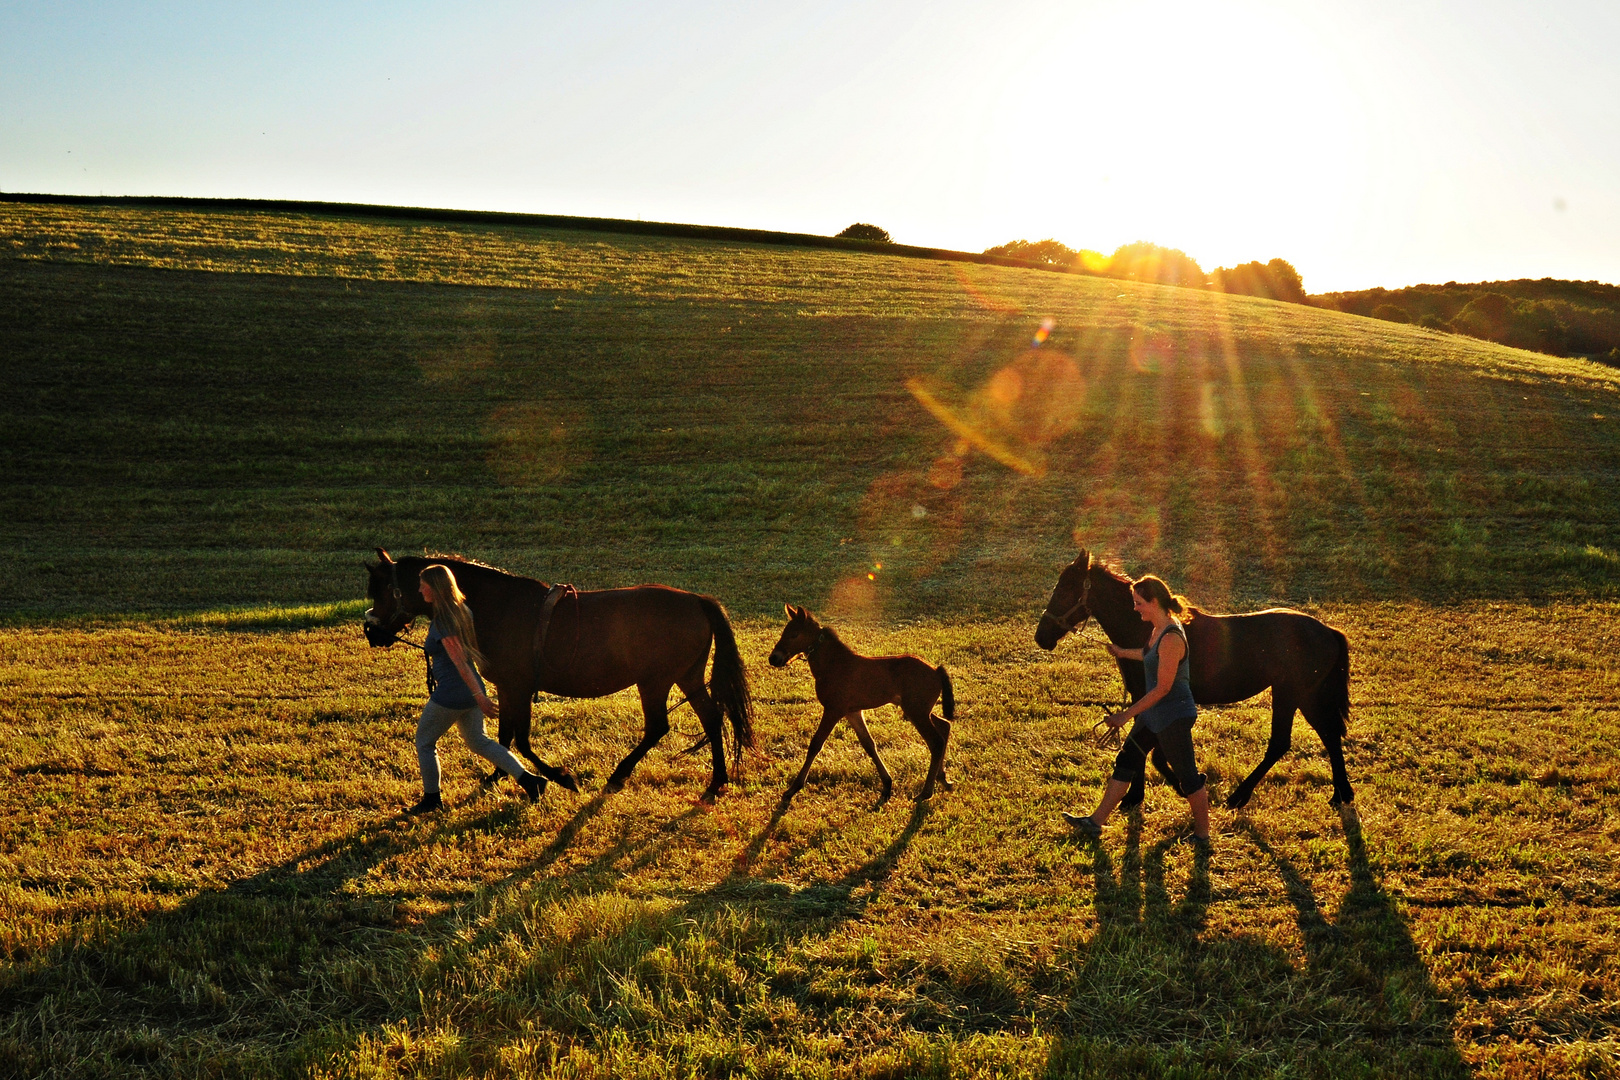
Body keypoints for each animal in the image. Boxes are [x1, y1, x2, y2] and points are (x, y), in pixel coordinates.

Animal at [364, 550, 754, 803]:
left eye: (380, 589)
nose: (372, 632)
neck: (497, 607)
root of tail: (697, 600)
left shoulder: (517, 687)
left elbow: (520, 740)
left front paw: (559, 778)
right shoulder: (508, 689)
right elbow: (505, 737)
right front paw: (499, 776)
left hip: (656, 682)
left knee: (659, 727)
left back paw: (618, 776)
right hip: (686, 677)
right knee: (711, 719)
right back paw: (715, 783)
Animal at [767, 608, 952, 803]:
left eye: (794, 634)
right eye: (785, 631)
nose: (774, 658)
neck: (834, 665)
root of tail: (936, 671)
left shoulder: (833, 710)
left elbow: (815, 744)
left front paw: (792, 789)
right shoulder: (853, 712)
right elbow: (869, 744)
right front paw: (887, 785)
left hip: (916, 712)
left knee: (936, 741)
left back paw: (926, 792)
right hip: (919, 711)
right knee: (944, 726)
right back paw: (943, 779)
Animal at [1036, 550, 1354, 809]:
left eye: (1063, 590)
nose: (1041, 637)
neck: (1144, 630)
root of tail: (1328, 631)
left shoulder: (1150, 699)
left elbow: (1147, 751)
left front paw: (1155, 791)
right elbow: (1147, 750)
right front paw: (1142, 794)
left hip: (1291, 694)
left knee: (1284, 742)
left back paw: (1239, 796)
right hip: (1304, 696)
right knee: (1328, 735)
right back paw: (1341, 793)